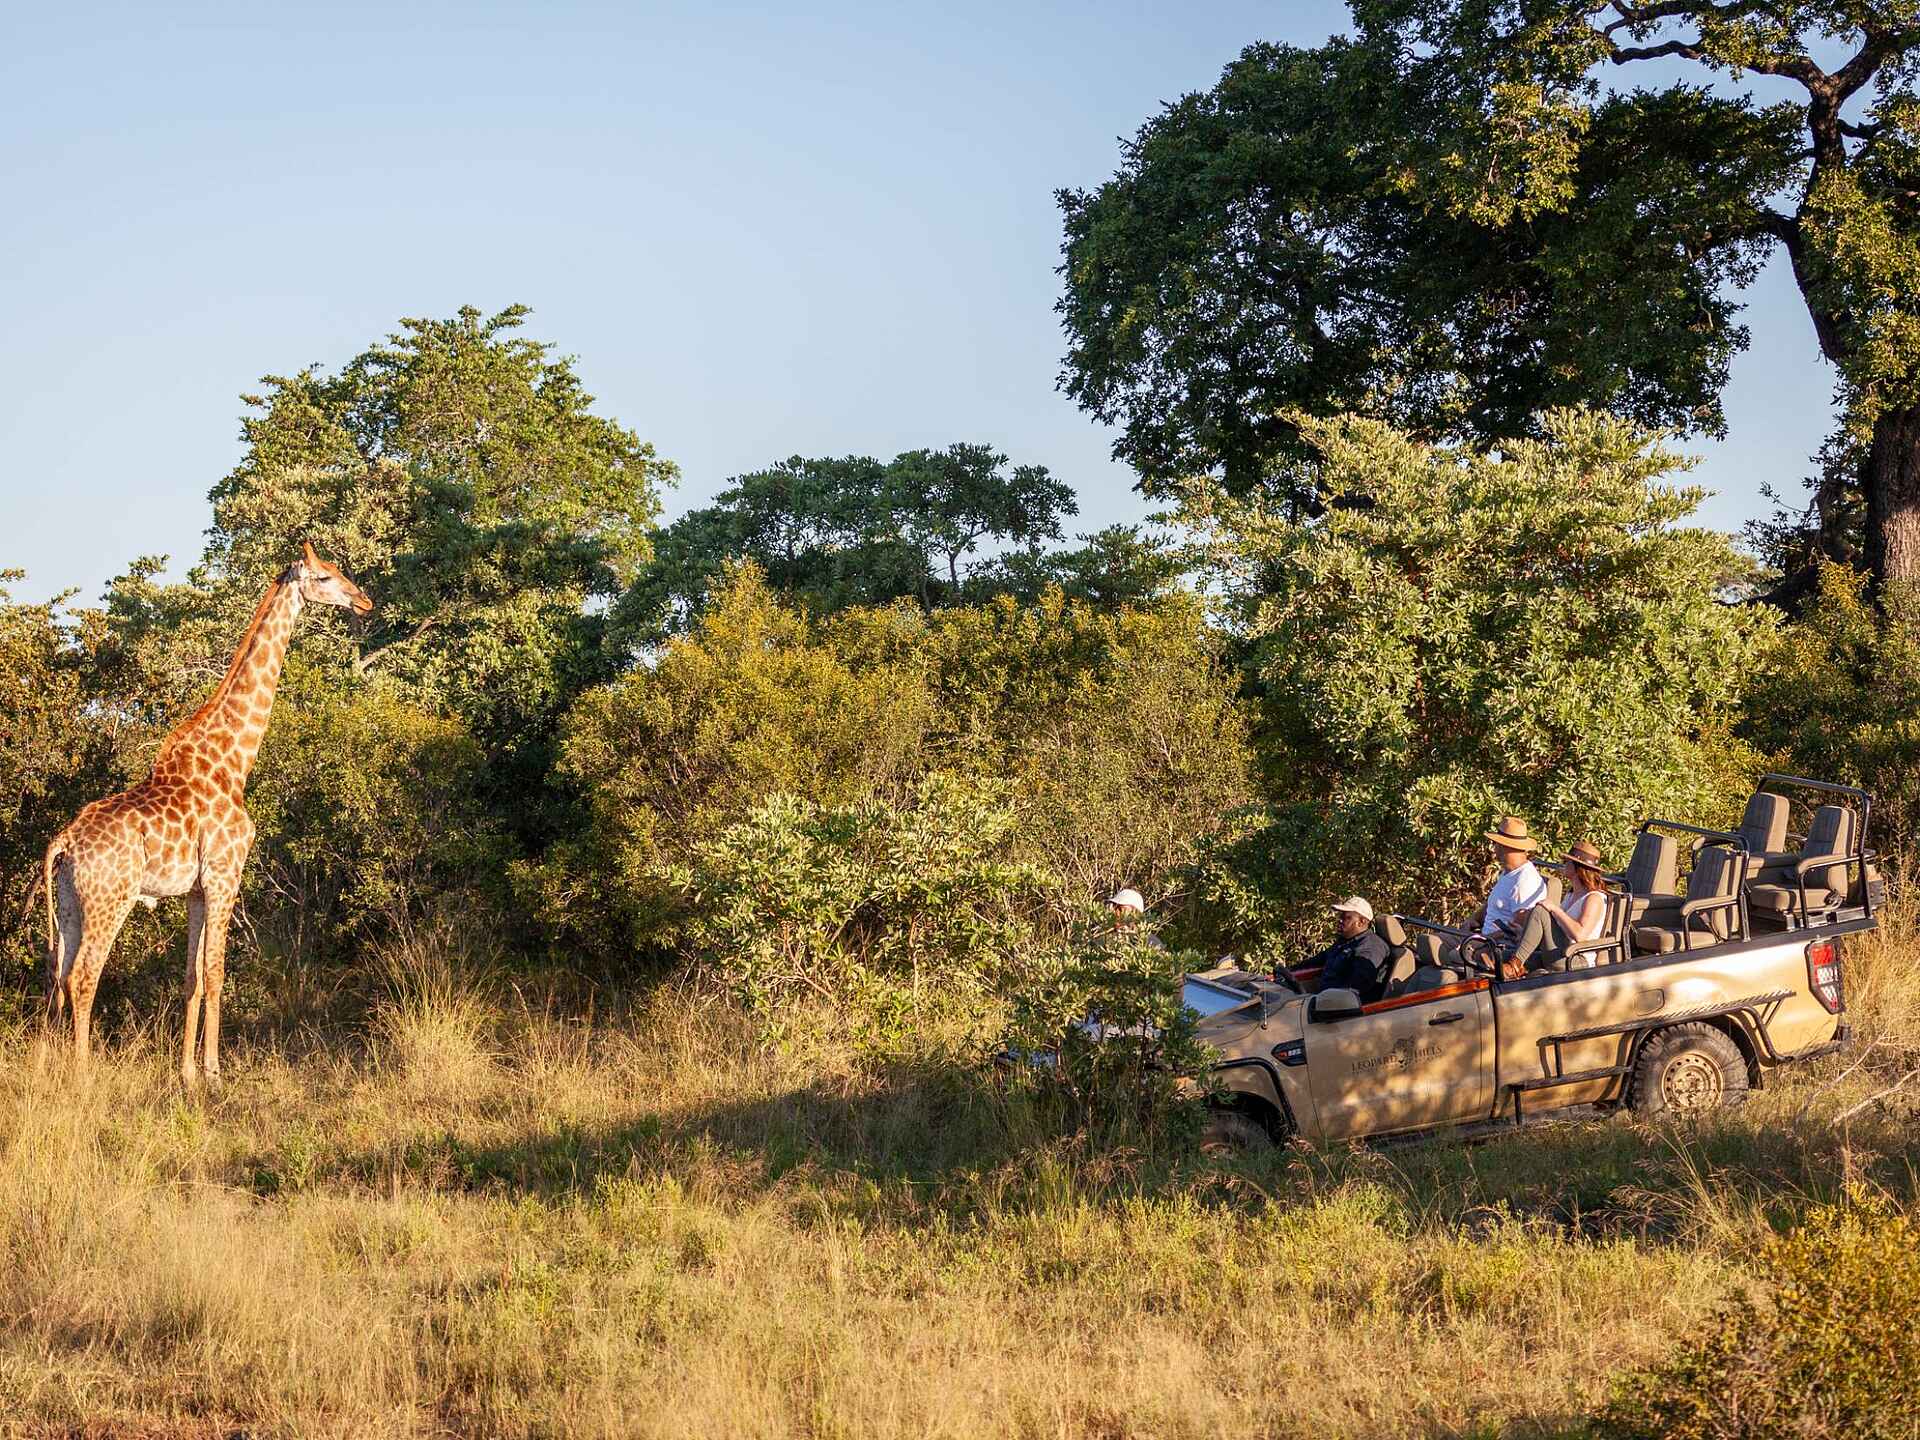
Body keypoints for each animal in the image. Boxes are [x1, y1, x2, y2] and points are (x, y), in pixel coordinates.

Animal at [41, 542, 373, 1085]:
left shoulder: (197, 889)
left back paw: (48, 1062)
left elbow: (192, 977)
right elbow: (217, 973)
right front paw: (215, 1071)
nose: (363, 600)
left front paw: (188, 1072)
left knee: (57, 971)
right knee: (84, 975)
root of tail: (63, 843)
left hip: (70, 900)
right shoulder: (225, 873)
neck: (233, 761)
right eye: (324, 577)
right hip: (111, 897)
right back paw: (83, 1073)